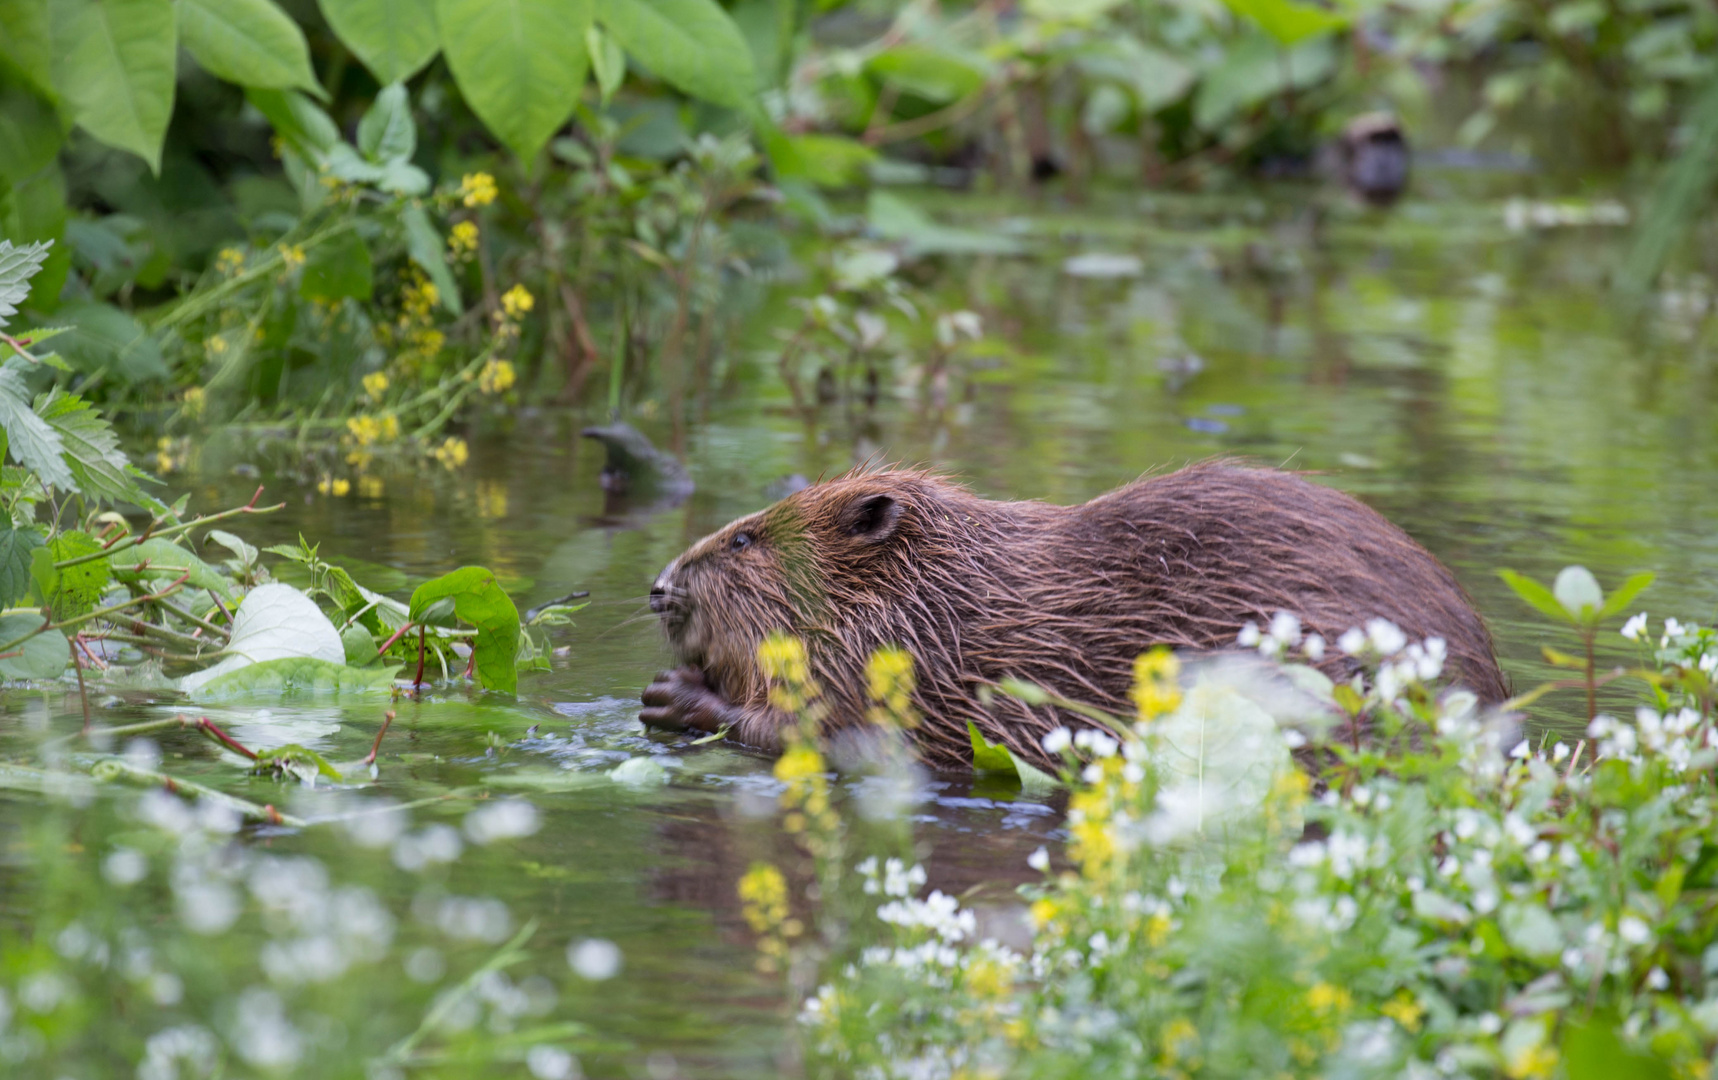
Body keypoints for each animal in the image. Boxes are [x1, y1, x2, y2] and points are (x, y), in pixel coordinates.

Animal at [642, 463, 1504, 765]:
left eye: (745, 539)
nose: (659, 587)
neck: (944, 596)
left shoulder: (908, 669)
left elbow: (825, 733)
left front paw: (675, 695)